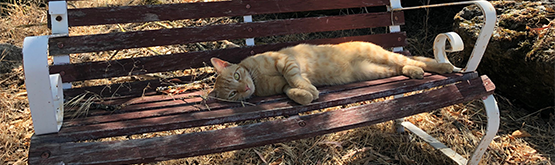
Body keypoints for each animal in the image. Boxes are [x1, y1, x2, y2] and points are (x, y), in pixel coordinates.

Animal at [211, 42, 454, 105]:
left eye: (237, 76)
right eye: (232, 94)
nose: (245, 87)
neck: (257, 79)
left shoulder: (285, 61)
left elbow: (293, 77)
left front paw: (308, 89)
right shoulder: (282, 86)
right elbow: (290, 90)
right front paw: (305, 95)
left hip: (385, 57)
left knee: (413, 60)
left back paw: (441, 67)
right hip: (377, 70)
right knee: (402, 67)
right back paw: (415, 71)